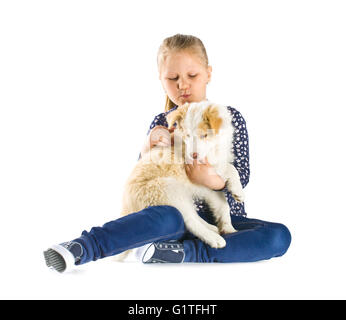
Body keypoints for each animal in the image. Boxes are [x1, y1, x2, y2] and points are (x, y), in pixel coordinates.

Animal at [120, 100, 245, 250]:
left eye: (204, 135)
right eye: (188, 135)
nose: (193, 156)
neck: (213, 148)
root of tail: (127, 202)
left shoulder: (207, 185)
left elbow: (222, 203)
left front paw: (228, 228)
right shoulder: (207, 167)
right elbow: (231, 168)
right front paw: (238, 191)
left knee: (191, 214)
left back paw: (212, 228)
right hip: (166, 189)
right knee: (188, 220)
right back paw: (214, 238)